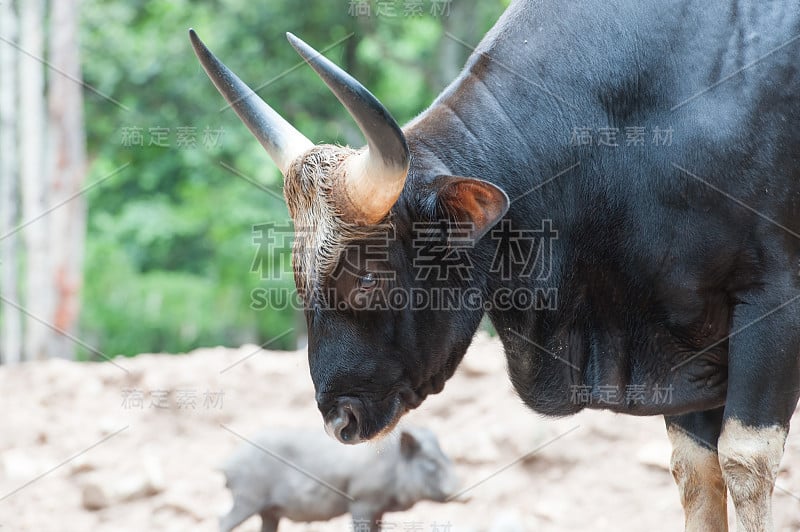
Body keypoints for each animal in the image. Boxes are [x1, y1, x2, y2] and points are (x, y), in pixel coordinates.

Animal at [192, 0, 800, 528]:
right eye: (299, 277)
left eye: (365, 275)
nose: (339, 418)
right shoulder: (679, 339)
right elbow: (695, 472)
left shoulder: (772, 301)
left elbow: (743, 461)